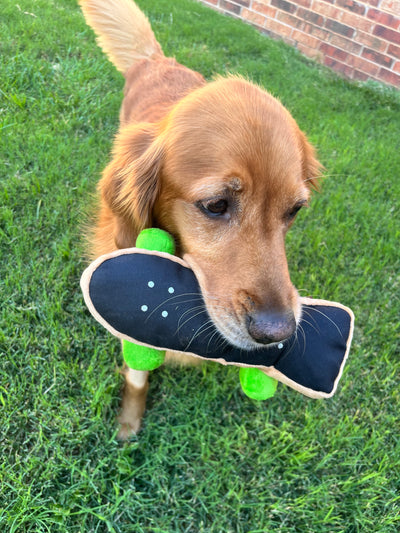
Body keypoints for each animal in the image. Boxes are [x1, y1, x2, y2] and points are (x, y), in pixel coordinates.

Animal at [79, 1, 320, 436]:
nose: (277, 332)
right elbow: (137, 372)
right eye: (216, 205)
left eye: (294, 210)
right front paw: (128, 426)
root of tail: (157, 60)